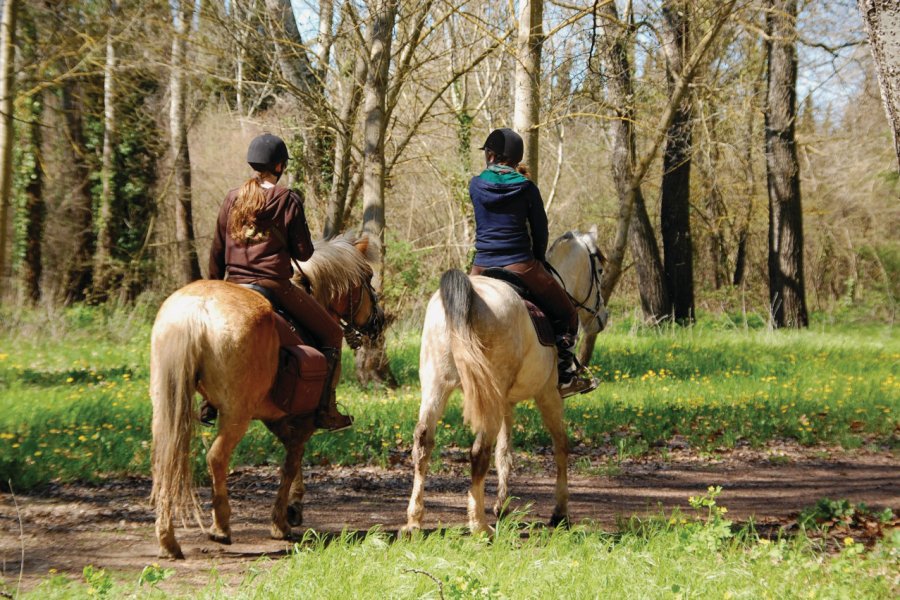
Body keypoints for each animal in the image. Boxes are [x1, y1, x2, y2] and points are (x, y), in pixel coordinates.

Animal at [151, 233, 384, 556]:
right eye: (369, 277)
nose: (379, 321)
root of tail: (197, 309)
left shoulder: (277, 417)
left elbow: (292, 459)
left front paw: (292, 509)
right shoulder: (303, 419)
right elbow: (292, 461)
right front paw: (282, 520)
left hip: (166, 405)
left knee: (165, 460)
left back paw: (168, 539)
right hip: (236, 415)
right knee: (216, 459)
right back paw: (220, 527)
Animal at [404, 230, 608, 536]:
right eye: (600, 271)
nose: (603, 318)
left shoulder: (506, 402)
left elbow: (504, 453)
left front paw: (503, 506)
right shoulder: (548, 395)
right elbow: (561, 445)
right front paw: (560, 512)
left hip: (436, 387)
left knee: (423, 444)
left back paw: (414, 521)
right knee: (479, 452)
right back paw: (478, 525)